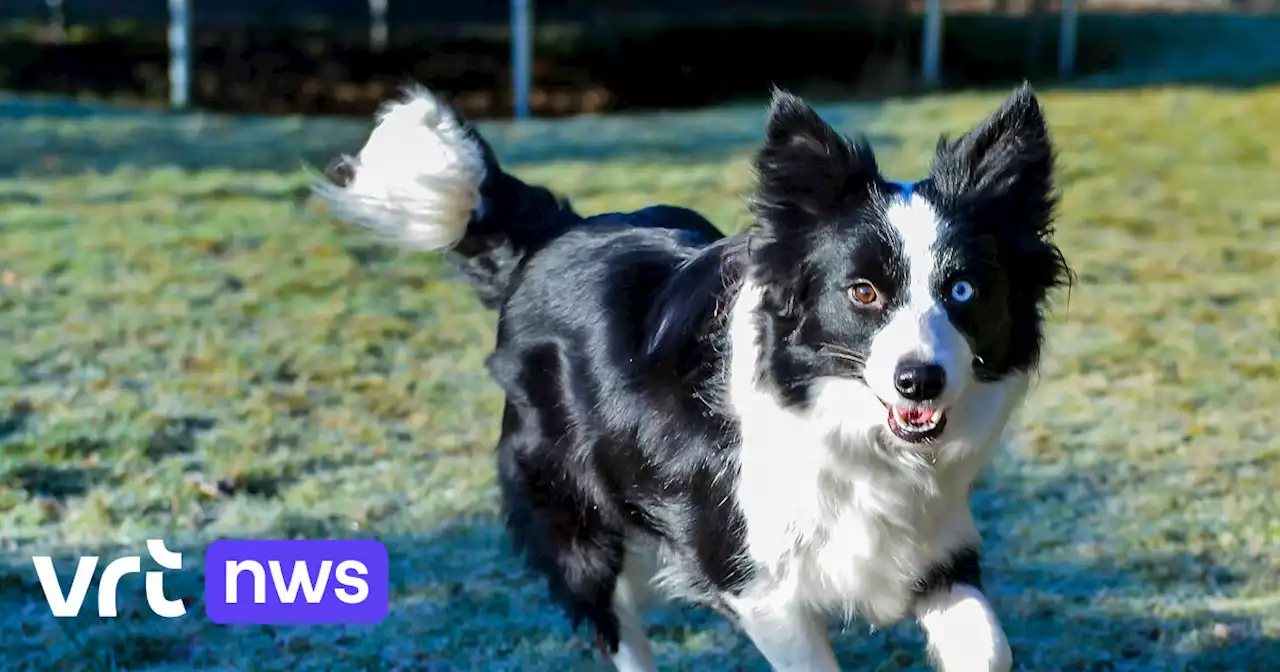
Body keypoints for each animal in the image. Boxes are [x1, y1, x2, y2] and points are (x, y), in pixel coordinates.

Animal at [317, 83, 1070, 670]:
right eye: (863, 292)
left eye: (965, 290)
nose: (921, 381)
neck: (842, 424)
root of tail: (555, 235)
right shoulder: (756, 581)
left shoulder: (931, 545)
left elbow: (990, 647)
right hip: (577, 518)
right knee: (615, 627)